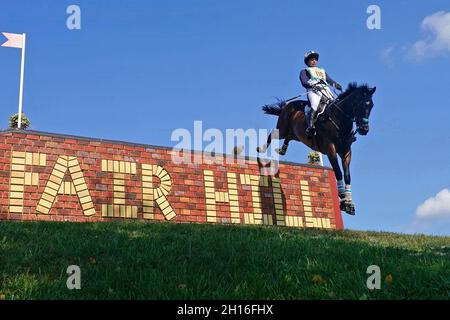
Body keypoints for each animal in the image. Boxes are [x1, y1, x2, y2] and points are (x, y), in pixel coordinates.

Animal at [256, 83, 376, 215]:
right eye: (360, 104)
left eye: (371, 106)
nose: (364, 129)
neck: (340, 121)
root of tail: (287, 105)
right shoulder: (330, 149)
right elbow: (338, 172)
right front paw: (342, 197)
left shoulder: (346, 151)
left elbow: (347, 175)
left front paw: (349, 203)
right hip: (282, 128)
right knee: (273, 134)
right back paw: (261, 149)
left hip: (297, 135)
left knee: (289, 137)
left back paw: (283, 149)